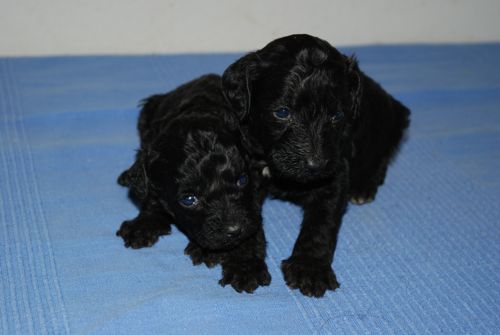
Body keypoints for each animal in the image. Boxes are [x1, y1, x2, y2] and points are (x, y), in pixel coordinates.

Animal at [115, 74, 272, 294]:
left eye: (242, 180)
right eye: (189, 199)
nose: (234, 229)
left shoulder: (254, 185)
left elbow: (253, 222)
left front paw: (245, 266)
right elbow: (150, 196)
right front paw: (143, 224)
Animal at [223, 33, 410, 296]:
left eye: (337, 116)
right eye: (282, 112)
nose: (316, 165)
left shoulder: (335, 174)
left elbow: (321, 224)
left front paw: (309, 268)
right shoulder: (246, 171)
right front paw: (245, 264)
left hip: (387, 126)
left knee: (381, 156)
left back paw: (363, 187)